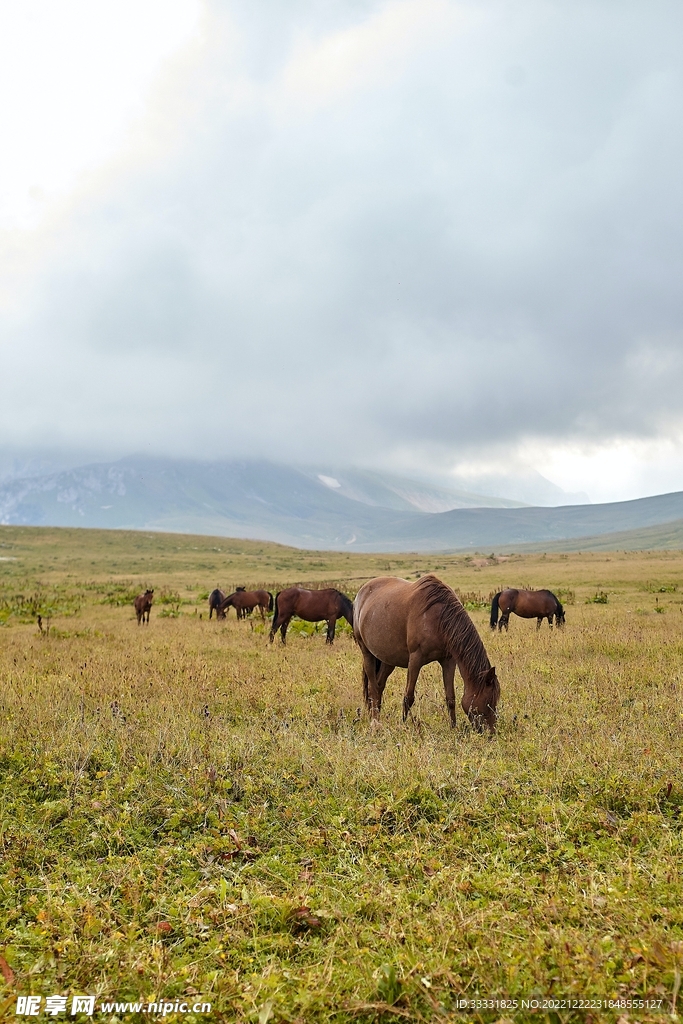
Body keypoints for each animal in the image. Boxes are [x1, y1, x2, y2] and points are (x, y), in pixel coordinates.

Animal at [354, 575, 499, 732]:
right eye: (488, 702)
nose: (491, 733)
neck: (438, 618)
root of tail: (362, 592)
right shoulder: (415, 660)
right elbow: (408, 697)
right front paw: (403, 725)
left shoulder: (448, 661)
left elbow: (450, 698)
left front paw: (453, 727)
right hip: (367, 653)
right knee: (372, 688)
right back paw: (375, 721)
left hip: (388, 659)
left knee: (379, 686)